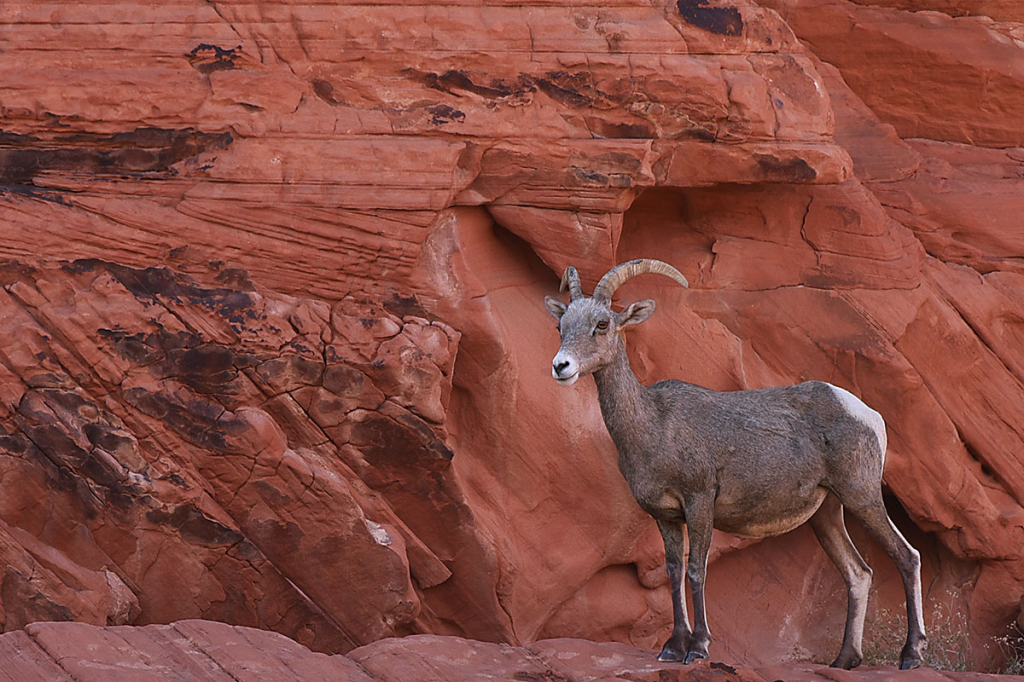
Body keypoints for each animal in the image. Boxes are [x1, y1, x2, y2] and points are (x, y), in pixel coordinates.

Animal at [544, 258, 929, 667]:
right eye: (561, 326)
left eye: (602, 324)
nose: (561, 366)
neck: (654, 425)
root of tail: (869, 415)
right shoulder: (665, 516)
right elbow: (674, 573)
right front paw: (672, 647)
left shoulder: (699, 502)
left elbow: (696, 571)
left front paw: (697, 648)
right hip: (827, 513)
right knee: (858, 572)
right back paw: (843, 660)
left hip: (861, 494)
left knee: (907, 557)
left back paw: (911, 655)